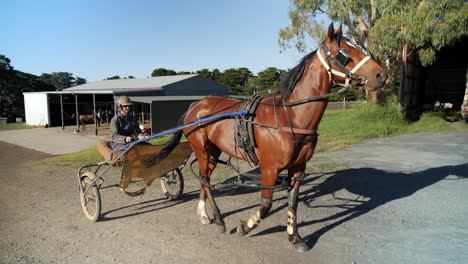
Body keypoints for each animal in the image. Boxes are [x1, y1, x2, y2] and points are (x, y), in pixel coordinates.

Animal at [148, 24, 386, 252]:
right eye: (345, 52)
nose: (381, 75)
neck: (290, 115)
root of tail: (195, 105)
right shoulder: (269, 167)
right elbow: (266, 204)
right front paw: (245, 226)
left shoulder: (298, 167)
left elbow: (292, 201)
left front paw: (295, 237)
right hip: (202, 149)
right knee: (205, 180)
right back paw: (218, 219)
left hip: (213, 151)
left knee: (203, 178)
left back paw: (205, 215)